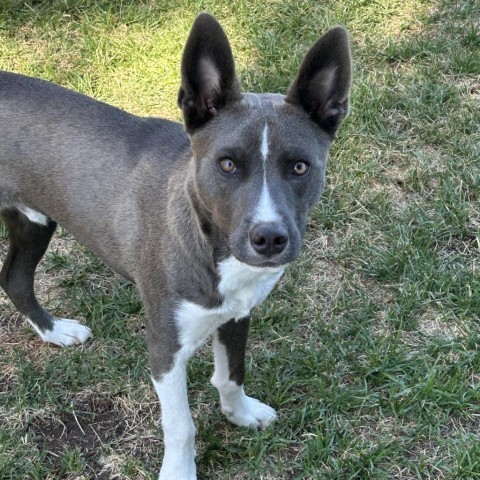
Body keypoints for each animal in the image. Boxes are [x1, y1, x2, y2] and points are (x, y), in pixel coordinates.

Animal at [0, 14, 352, 480]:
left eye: (299, 166)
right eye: (227, 163)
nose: (269, 239)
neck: (210, 243)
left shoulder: (237, 312)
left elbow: (232, 374)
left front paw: (240, 414)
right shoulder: (165, 346)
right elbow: (181, 425)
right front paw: (180, 471)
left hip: (33, 220)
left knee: (14, 278)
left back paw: (55, 331)